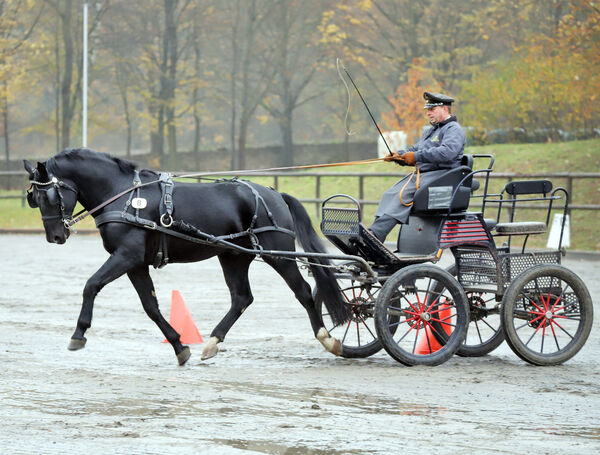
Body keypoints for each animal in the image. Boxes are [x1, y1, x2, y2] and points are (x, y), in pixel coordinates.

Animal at [24, 150, 352, 366]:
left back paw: (328, 339)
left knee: (304, 292)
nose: (56, 236)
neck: (123, 195)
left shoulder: (126, 256)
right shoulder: (136, 263)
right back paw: (212, 342)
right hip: (233, 256)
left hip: (278, 254)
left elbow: (91, 285)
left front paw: (78, 334)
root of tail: (272, 192)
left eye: (49, 196)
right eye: (33, 198)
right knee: (241, 298)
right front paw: (180, 346)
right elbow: (151, 307)